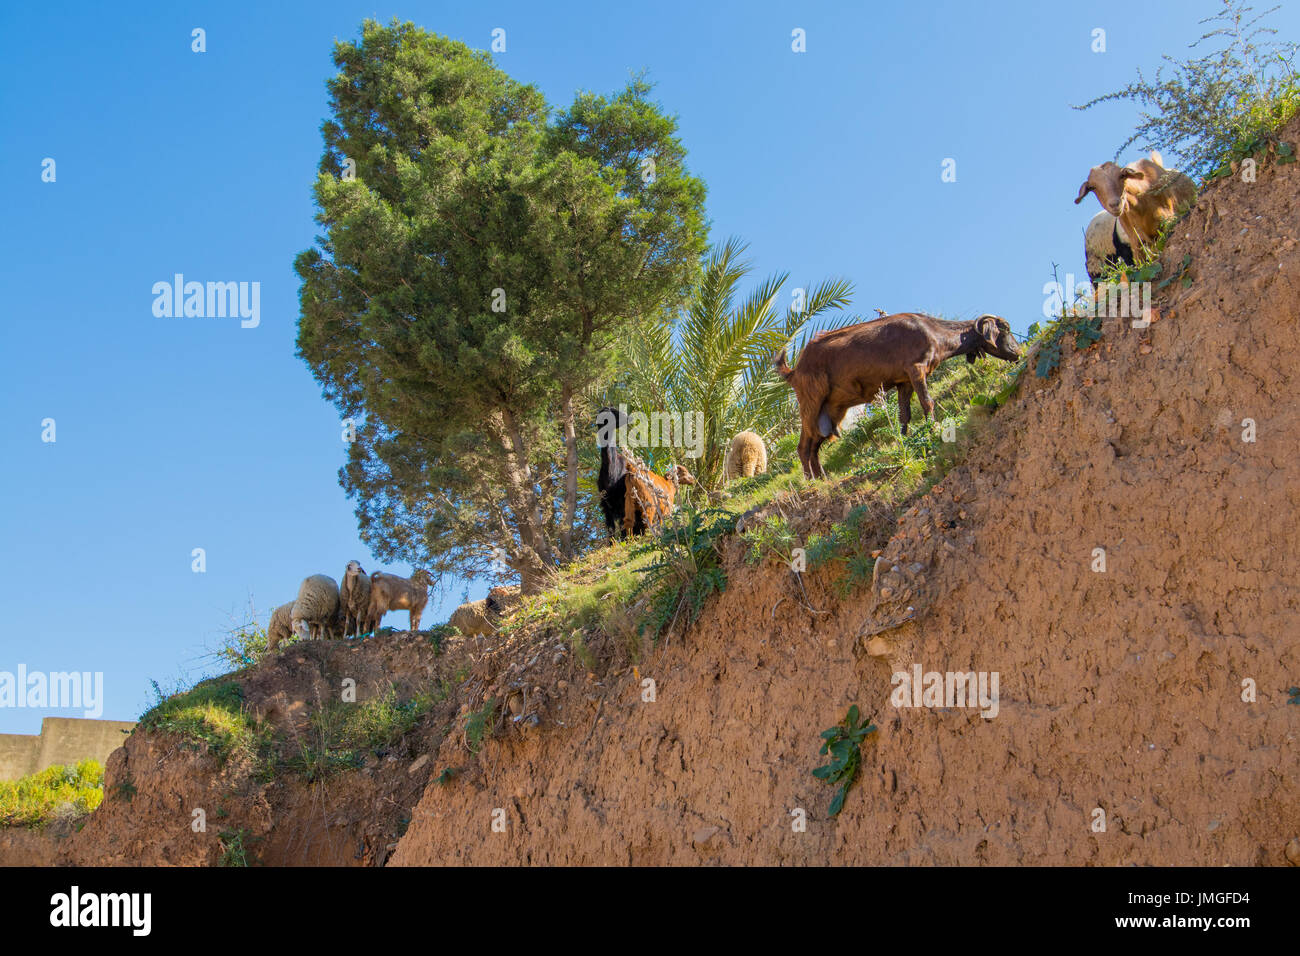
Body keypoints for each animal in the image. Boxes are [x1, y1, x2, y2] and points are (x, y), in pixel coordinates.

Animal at [773, 313, 1020, 480]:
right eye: (1005, 328)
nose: (1017, 353)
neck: (932, 331)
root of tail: (794, 370)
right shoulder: (916, 368)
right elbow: (927, 402)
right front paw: (933, 429)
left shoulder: (904, 381)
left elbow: (905, 414)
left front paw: (903, 439)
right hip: (811, 400)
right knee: (803, 446)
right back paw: (811, 481)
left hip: (832, 409)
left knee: (815, 445)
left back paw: (823, 477)